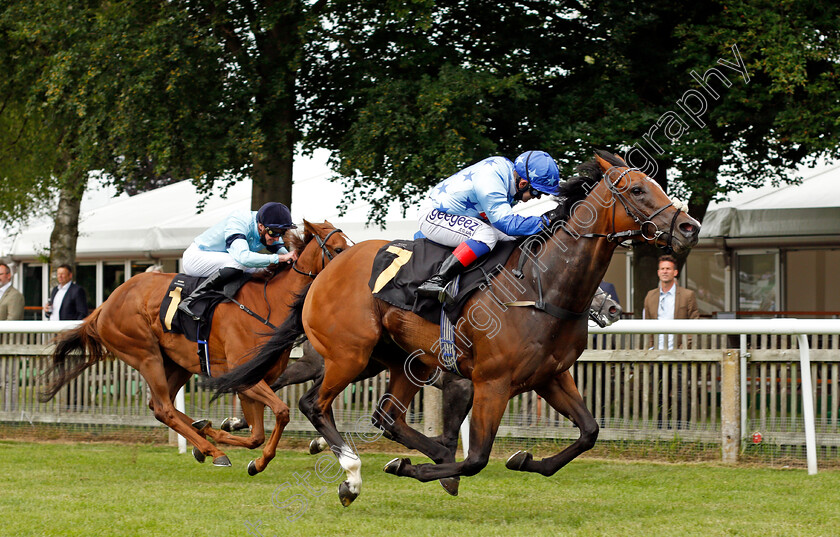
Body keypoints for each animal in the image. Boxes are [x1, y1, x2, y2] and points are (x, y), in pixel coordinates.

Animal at [38, 219, 348, 474]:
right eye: (338, 248)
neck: (268, 304)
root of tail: (105, 305)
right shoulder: (243, 376)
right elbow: (281, 413)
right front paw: (243, 453)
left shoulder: (252, 378)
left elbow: (257, 434)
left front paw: (233, 443)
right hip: (145, 354)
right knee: (163, 408)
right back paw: (214, 451)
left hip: (177, 362)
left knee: (158, 406)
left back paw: (203, 435)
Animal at [212, 150, 704, 502]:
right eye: (638, 189)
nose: (689, 226)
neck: (541, 285)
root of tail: (325, 270)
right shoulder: (490, 382)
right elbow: (478, 458)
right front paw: (420, 469)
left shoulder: (549, 376)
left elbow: (589, 432)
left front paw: (524, 461)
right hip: (349, 354)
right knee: (315, 403)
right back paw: (352, 476)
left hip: (400, 361)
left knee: (383, 415)